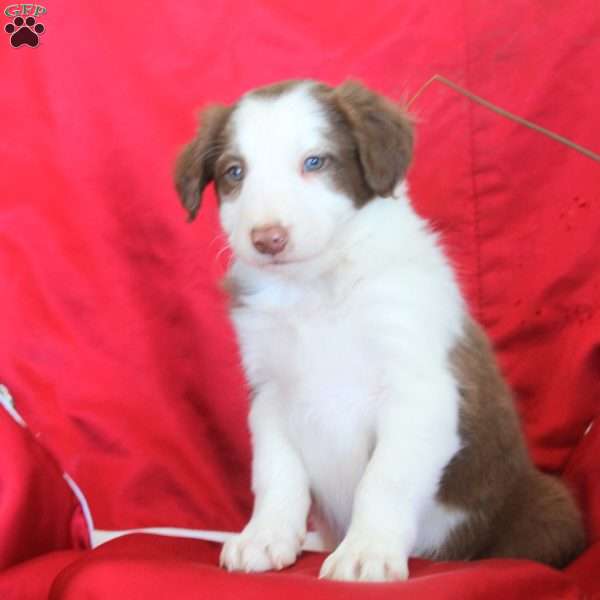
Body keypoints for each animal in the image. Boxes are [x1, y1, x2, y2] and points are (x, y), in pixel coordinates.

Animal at [175, 79, 584, 580]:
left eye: (315, 161)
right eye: (235, 172)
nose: (268, 239)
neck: (318, 286)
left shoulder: (419, 387)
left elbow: (385, 477)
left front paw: (365, 550)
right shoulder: (270, 392)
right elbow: (276, 473)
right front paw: (265, 537)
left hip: (544, 510)